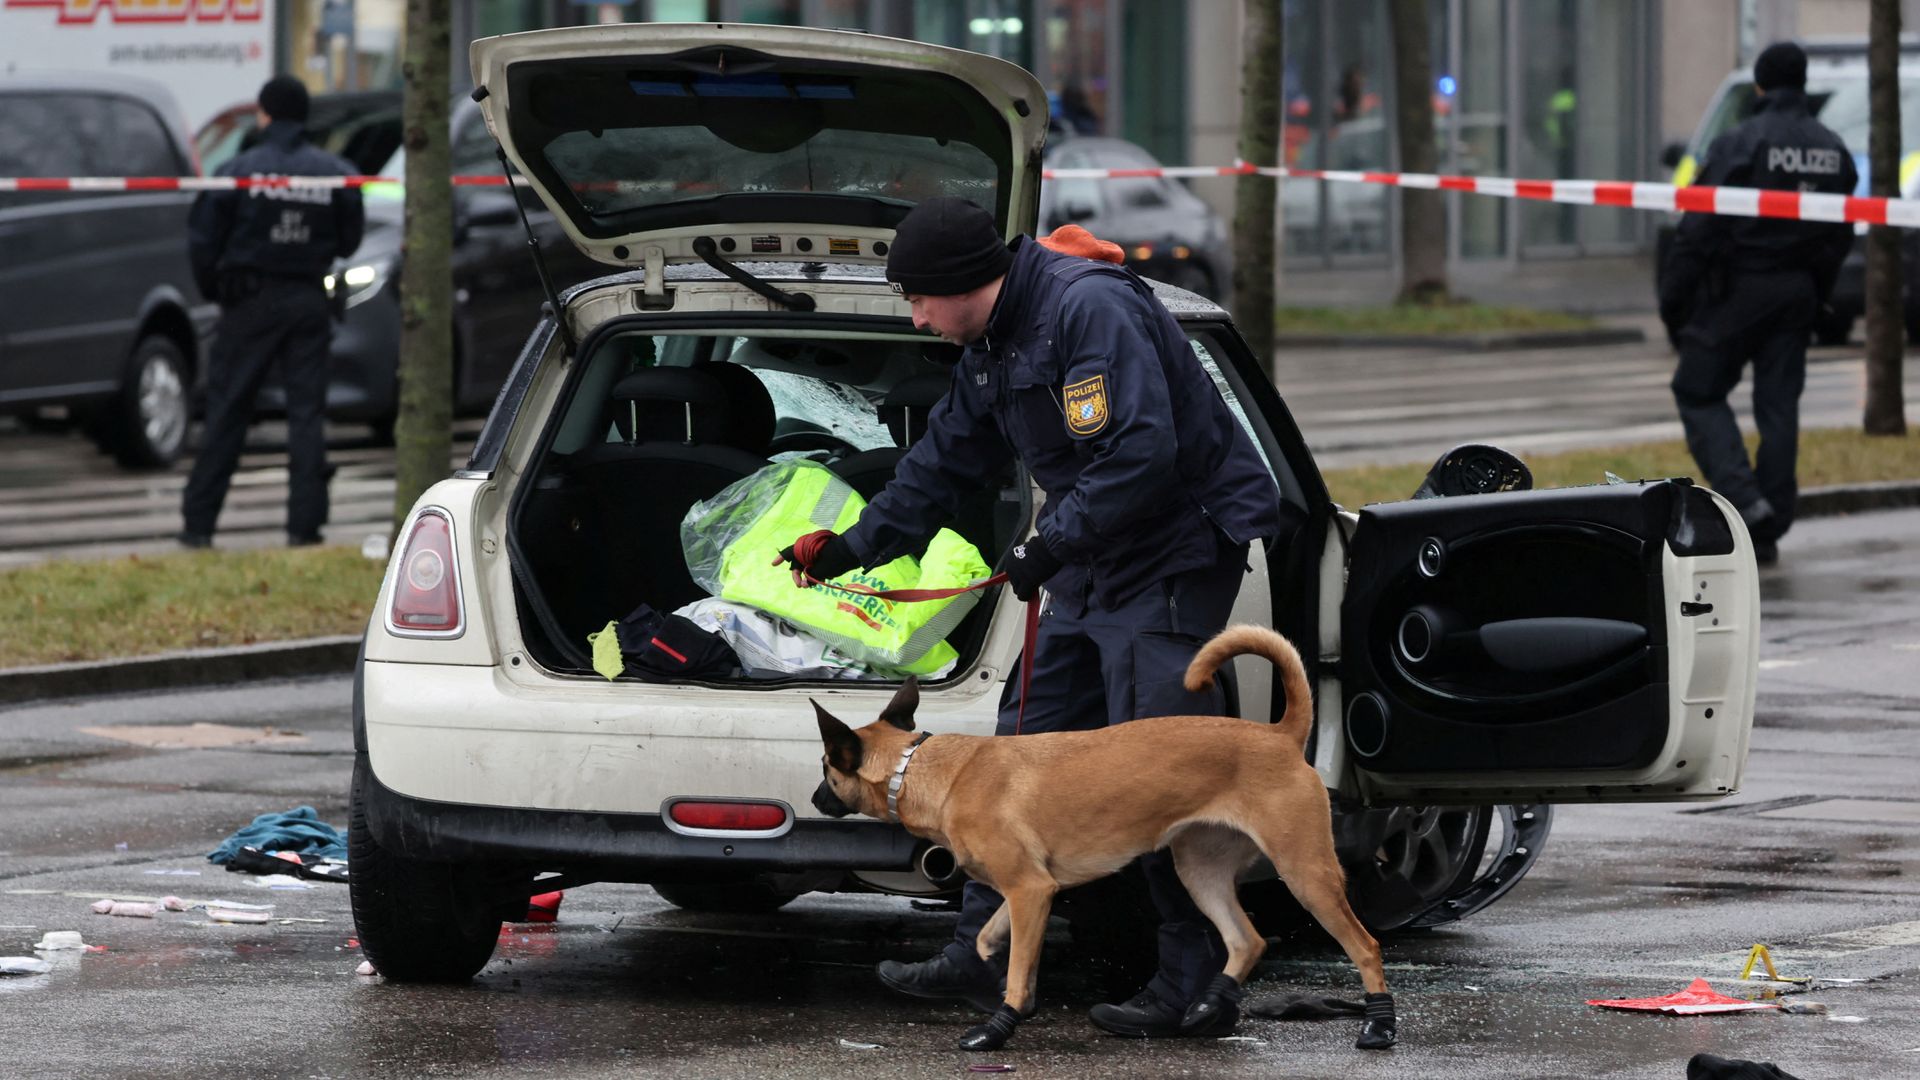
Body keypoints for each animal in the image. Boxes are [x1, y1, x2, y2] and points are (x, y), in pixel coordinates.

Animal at [810, 618, 1397, 1045]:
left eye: (825, 769)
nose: (815, 799)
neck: (922, 768)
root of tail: (1280, 735)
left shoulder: (1030, 889)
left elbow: (1017, 970)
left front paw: (999, 1026)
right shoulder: (1032, 893)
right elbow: (988, 936)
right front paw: (991, 971)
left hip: (1306, 874)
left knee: (1365, 946)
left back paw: (1379, 1023)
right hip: (1200, 870)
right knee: (1246, 940)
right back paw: (1210, 1004)